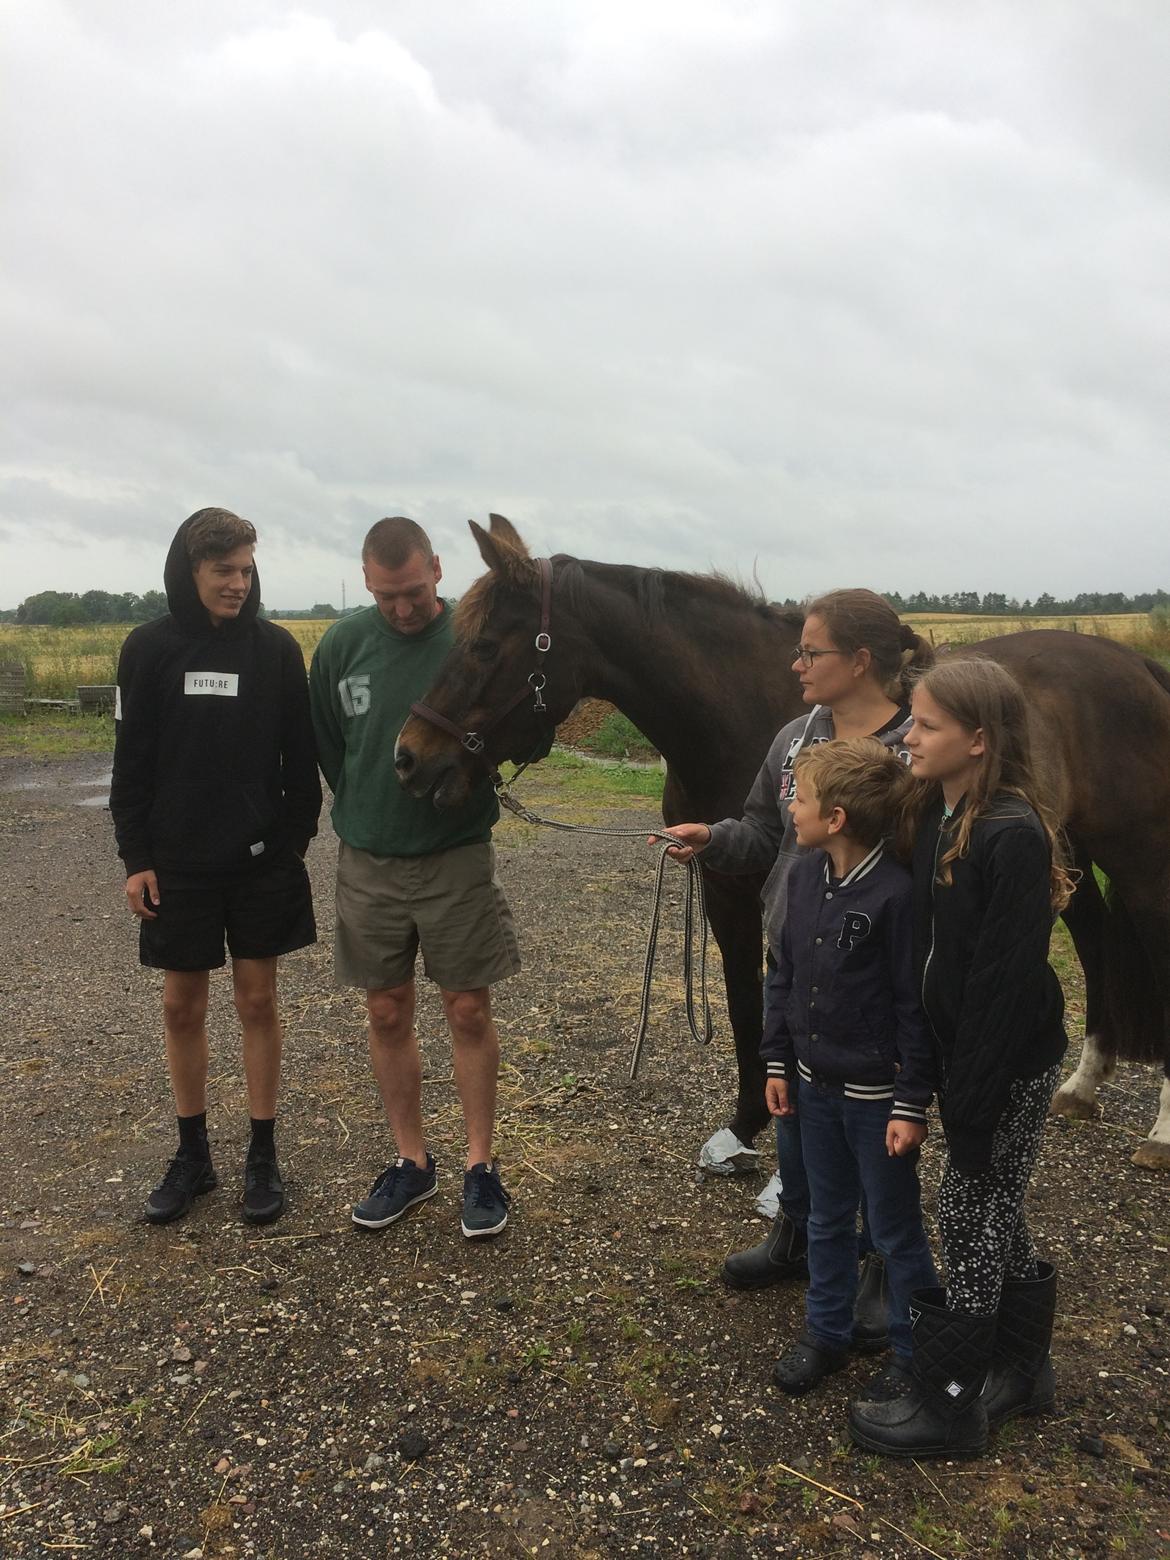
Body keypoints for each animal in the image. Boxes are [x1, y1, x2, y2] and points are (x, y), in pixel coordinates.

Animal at [396, 514, 1170, 1173]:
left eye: (485, 645)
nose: (410, 759)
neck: (742, 712)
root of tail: (1134, 666)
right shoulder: (723, 885)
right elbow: (746, 1007)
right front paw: (745, 1125)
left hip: (1138, 861)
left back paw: (1159, 1133)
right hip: (1062, 853)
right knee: (1096, 941)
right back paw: (1080, 1086)